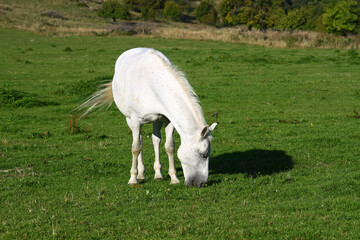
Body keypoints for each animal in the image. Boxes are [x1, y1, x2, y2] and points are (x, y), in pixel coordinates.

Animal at [79, 47, 217, 188]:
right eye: (203, 155)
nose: (202, 183)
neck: (153, 85)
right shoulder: (135, 121)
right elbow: (136, 148)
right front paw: (133, 179)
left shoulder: (168, 120)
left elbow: (170, 147)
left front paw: (173, 178)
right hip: (130, 120)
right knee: (139, 141)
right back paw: (140, 174)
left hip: (156, 121)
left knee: (156, 140)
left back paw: (158, 174)